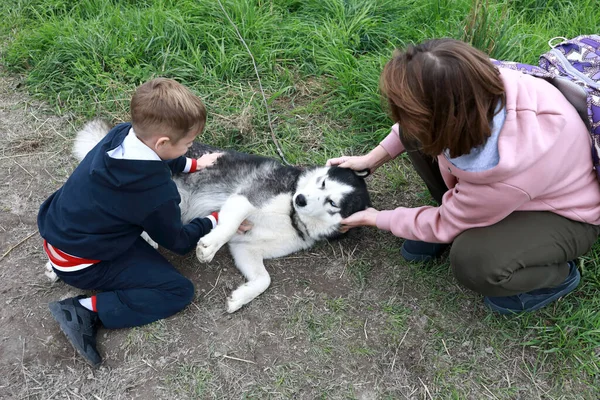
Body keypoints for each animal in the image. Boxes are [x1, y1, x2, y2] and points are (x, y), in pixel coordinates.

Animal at [68, 122, 372, 312]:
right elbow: (228, 224)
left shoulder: (246, 248)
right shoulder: (244, 198)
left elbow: (264, 279)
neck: (290, 214)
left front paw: (240, 298)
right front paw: (209, 247)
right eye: (322, 182)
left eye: (332, 203)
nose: (301, 199)